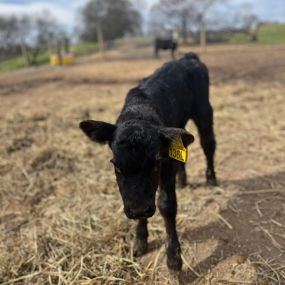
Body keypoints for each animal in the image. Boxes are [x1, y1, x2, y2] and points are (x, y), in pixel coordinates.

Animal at [79, 52, 216, 270]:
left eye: (155, 163)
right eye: (116, 165)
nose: (139, 209)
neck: (140, 111)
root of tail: (188, 57)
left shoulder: (166, 166)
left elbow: (166, 205)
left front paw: (173, 256)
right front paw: (140, 240)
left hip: (204, 110)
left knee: (208, 144)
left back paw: (211, 178)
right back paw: (183, 180)